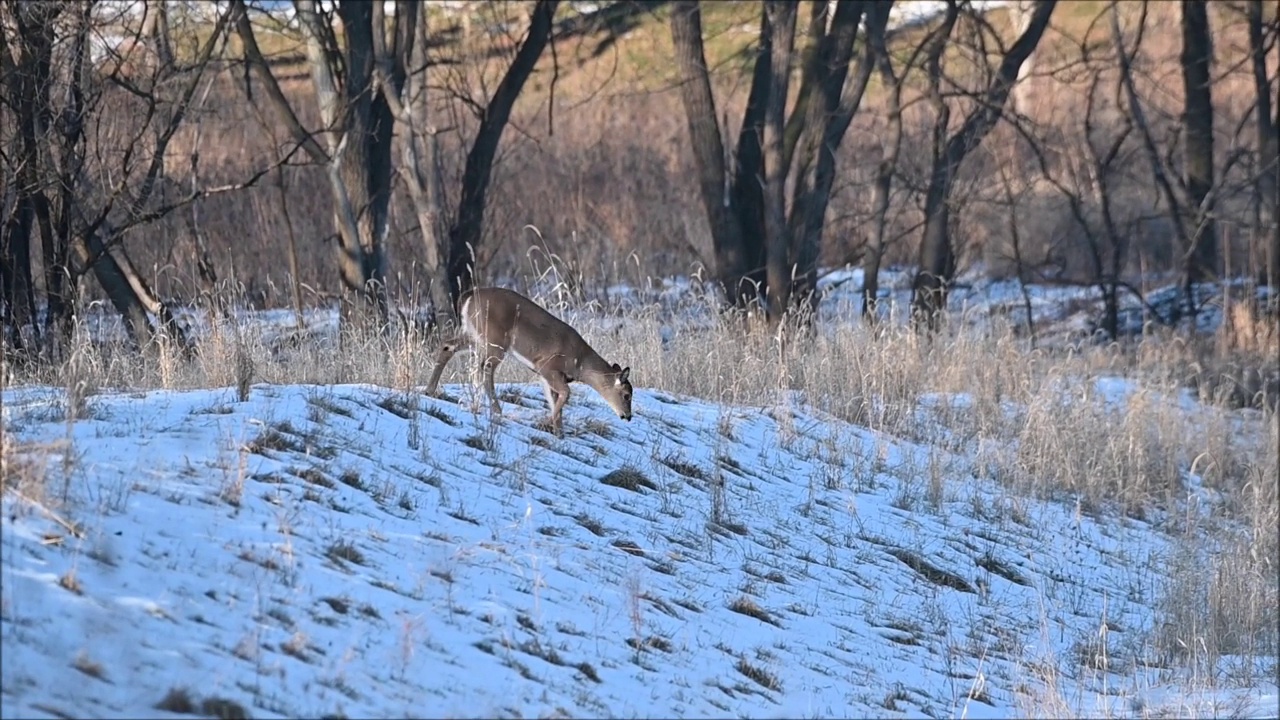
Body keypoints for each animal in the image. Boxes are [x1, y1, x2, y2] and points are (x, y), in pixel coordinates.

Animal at [427, 284, 632, 430]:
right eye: (627, 395)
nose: (628, 416)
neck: (579, 362)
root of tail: (468, 296)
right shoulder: (547, 366)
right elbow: (566, 393)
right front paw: (548, 423)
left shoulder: (546, 375)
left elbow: (555, 399)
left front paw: (558, 432)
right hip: (494, 340)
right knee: (485, 368)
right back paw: (496, 410)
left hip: (474, 335)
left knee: (448, 346)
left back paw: (430, 390)